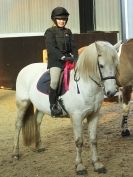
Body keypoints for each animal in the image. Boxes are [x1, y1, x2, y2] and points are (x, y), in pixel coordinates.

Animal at [12, 40, 118, 175]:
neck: (85, 85)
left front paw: (97, 165)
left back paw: (39, 146)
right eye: (101, 65)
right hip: (23, 103)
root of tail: (25, 68)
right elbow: (79, 141)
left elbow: (93, 140)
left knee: (37, 121)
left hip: (41, 107)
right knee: (18, 125)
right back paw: (15, 153)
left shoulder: (94, 115)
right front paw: (80, 166)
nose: (111, 92)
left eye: (116, 65)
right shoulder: (76, 117)